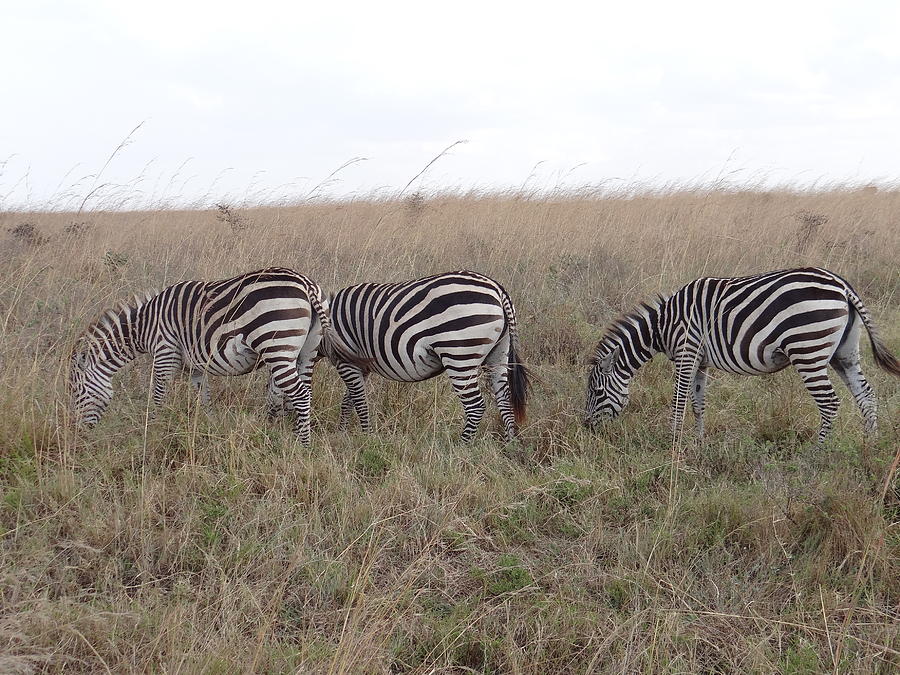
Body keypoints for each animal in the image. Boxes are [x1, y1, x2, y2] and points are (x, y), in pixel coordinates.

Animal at [67, 266, 334, 446]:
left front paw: (152, 430)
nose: (78, 434)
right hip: (305, 351)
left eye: (77, 392)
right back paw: (296, 434)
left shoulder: (165, 353)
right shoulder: (196, 366)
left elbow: (158, 396)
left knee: (300, 394)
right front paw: (210, 427)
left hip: (277, 346)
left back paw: (304, 445)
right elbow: (203, 398)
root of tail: (306, 284)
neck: (145, 326)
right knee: (304, 391)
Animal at [326, 270, 532, 444]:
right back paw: (509, 445)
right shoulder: (362, 366)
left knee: (476, 406)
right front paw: (343, 432)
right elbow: (348, 400)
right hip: (499, 353)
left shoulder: (347, 362)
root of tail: (497, 289)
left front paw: (365, 437)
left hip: (459, 353)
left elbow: (358, 400)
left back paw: (461, 447)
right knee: (504, 399)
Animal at [584, 266, 900, 446]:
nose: (587, 429)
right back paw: (869, 446)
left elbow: (678, 402)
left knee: (830, 402)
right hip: (843, 353)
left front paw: (672, 443)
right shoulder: (700, 361)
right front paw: (699, 443)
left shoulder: (687, 352)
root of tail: (841, 285)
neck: (663, 325)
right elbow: (698, 403)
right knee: (866, 395)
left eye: (597, 392)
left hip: (807, 349)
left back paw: (818, 453)